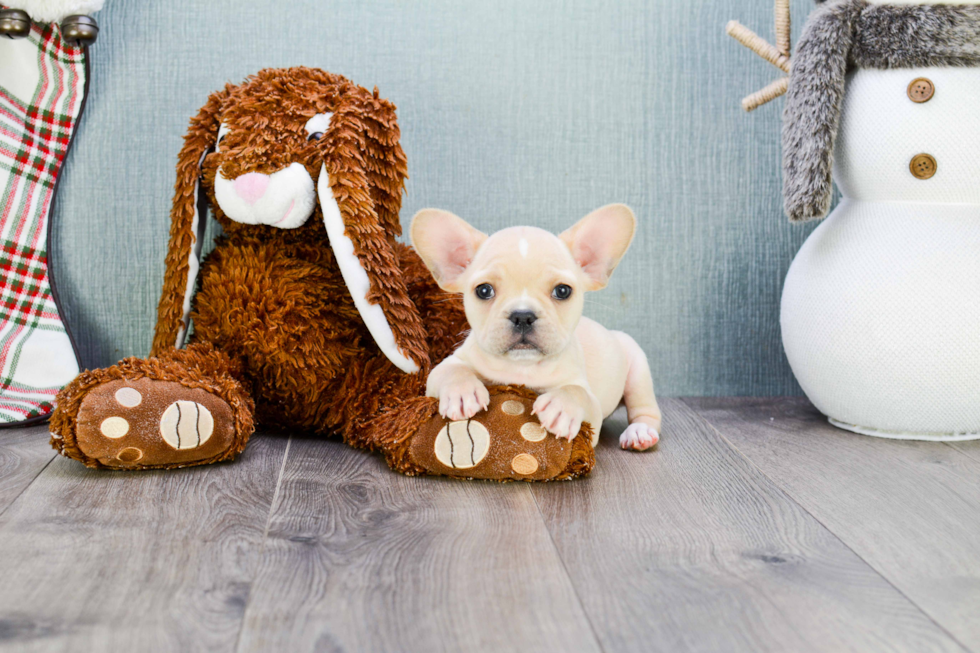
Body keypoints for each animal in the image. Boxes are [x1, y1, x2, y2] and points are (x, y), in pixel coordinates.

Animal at [410, 204, 664, 448]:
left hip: (638, 368)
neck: (522, 367)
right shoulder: (448, 365)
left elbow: (577, 392)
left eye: (563, 291)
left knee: (646, 411)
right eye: (483, 290)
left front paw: (562, 407)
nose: (523, 316)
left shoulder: (592, 412)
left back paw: (640, 432)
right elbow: (452, 370)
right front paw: (462, 392)